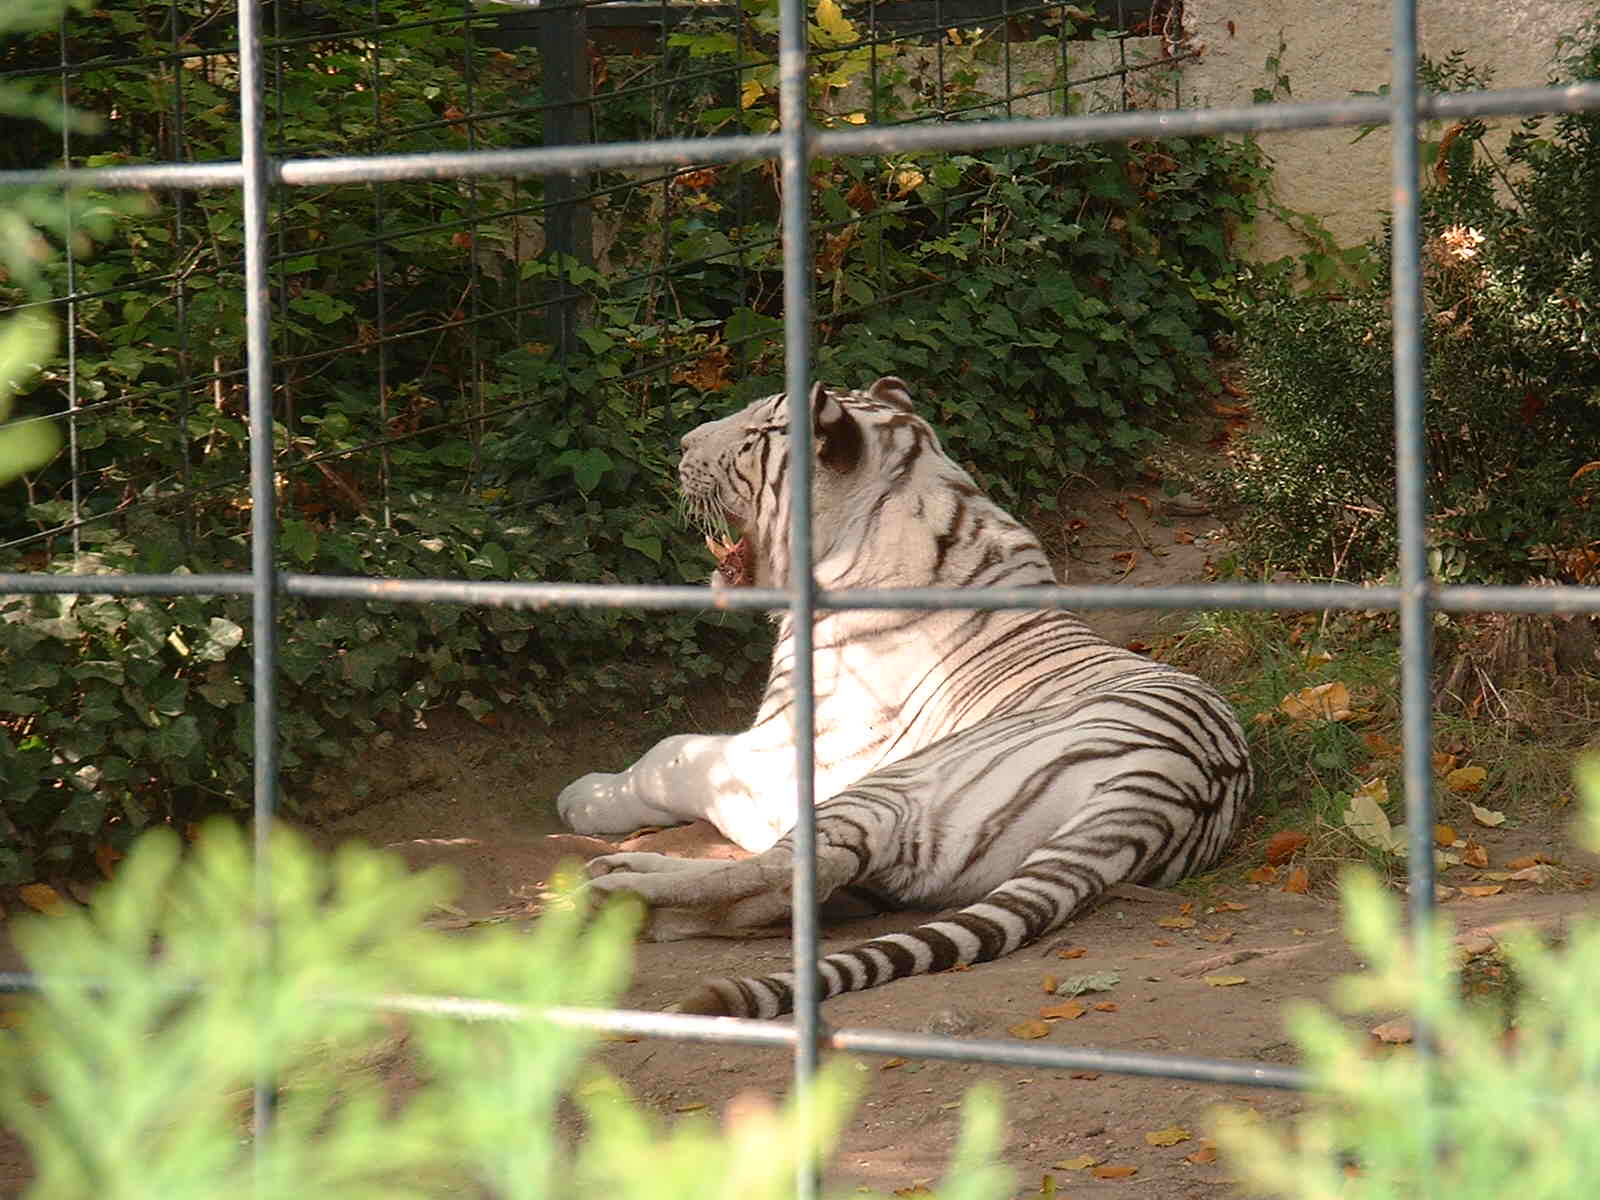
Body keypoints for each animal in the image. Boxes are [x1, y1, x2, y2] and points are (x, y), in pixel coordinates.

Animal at [556, 376, 1254, 1017]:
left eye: (755, 431)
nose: (680, 445)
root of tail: (1166, 788)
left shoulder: (783, 759)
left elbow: (675, 754)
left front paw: (585, 799)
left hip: (893, 786)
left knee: (797, 869)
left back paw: (611, 888)